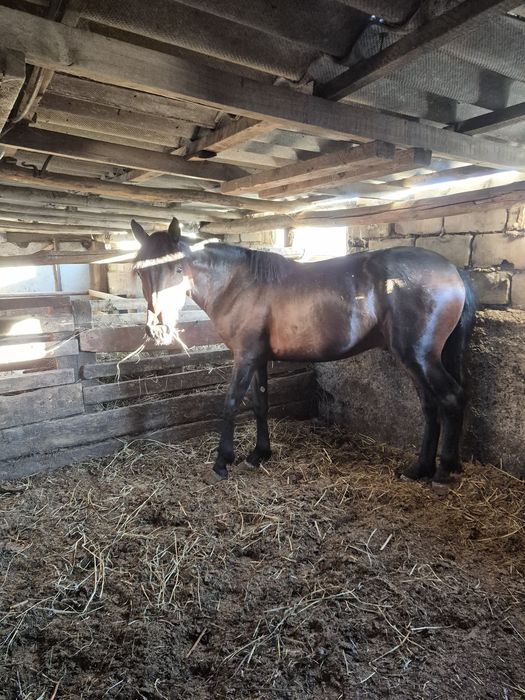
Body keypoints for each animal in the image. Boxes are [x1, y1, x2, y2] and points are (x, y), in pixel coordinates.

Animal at [131, 217, 475, 489]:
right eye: (139, 271)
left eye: (178, 268)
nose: (157, 330)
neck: (239, 283)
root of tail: (453, 270)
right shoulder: (258, 358)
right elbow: (260, 404)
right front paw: (258, 455)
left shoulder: (244, 356)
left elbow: (230, 404)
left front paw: (222, 462)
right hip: (416, 361)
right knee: (430, 407)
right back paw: (420, 469)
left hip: (419, 357)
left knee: (451, 398)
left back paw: (443, 472)